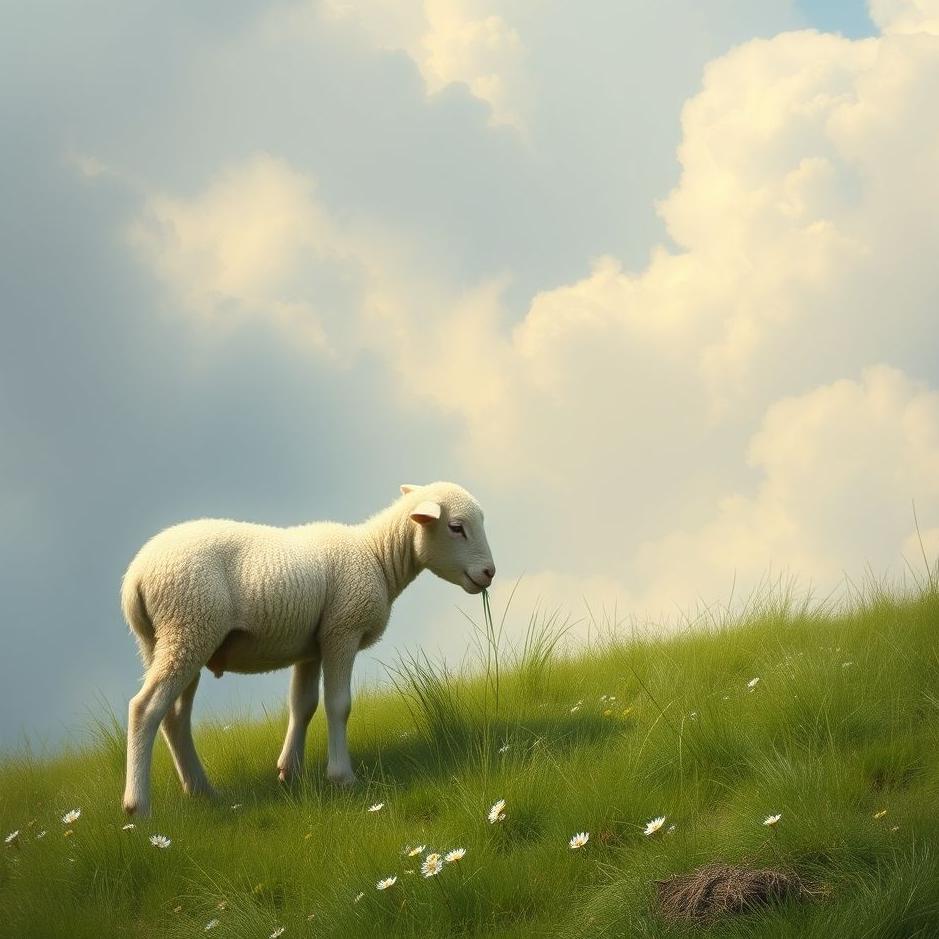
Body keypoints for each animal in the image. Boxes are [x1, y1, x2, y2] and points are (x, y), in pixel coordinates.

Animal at [120, 481, 496, 815]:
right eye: (456, 527)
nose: (490, 573)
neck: (377, 556)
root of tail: (135, 577)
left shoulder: (311, 646)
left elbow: (303, 705)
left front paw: (290, 772)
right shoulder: (342, 631)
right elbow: (338, 705)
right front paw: (342, 777)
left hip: (169, 640)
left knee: (174, 717)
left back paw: (202, 790)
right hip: (189, 624)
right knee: (145, 708)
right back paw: (138, 805)